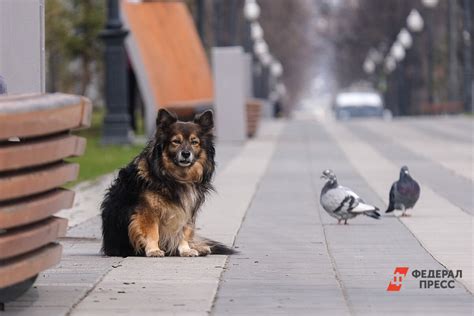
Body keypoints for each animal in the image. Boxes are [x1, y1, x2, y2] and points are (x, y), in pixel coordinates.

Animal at [101, 108, 234, 256]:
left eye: (194, 142)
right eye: (176, 141)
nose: (186, 154)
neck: (176, 178)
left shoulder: (187, 209)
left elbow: (184, 232)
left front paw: (186, 250)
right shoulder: (148, 212)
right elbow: (152, 232)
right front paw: (153, 250)